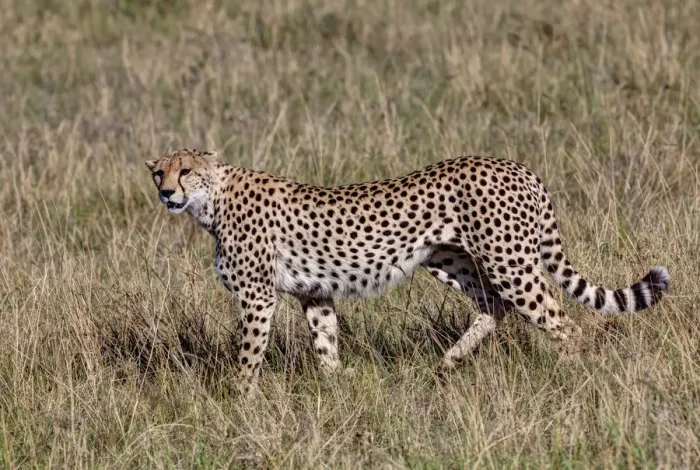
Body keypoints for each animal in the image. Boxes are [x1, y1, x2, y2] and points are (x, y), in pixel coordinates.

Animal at [146, 148, 670, 393]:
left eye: (185, 170)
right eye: (159, 172)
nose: (166, 193)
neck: (211, 201)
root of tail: (517, 166)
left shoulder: (258, 296)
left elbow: (249, 355)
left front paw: (238, 401)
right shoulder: (315, 292)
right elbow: (326, 344)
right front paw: (338, 390)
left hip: (509, 261)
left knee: (560, 321)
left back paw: (575, 375)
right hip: (452, 260)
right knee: (493, 307)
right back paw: (449, 361)